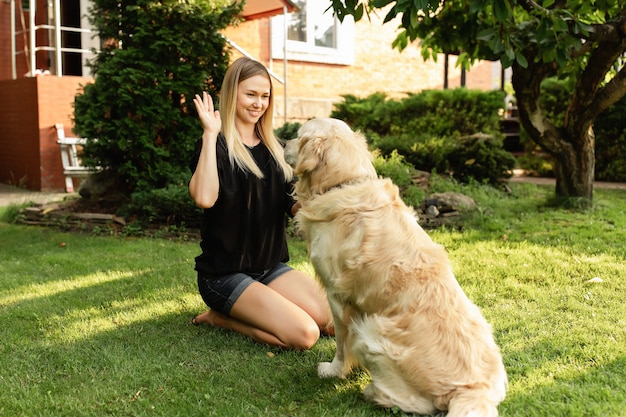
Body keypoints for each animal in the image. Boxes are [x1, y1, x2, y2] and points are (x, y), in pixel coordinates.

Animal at [288, 118, 508, 416]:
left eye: (298, 135)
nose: (283, 143)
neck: (342, 183)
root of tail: (473, 390)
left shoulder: (337, 295)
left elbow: (342, 342)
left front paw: (334, 370)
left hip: (372, 329)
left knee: (418, 404)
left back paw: (373, 392)